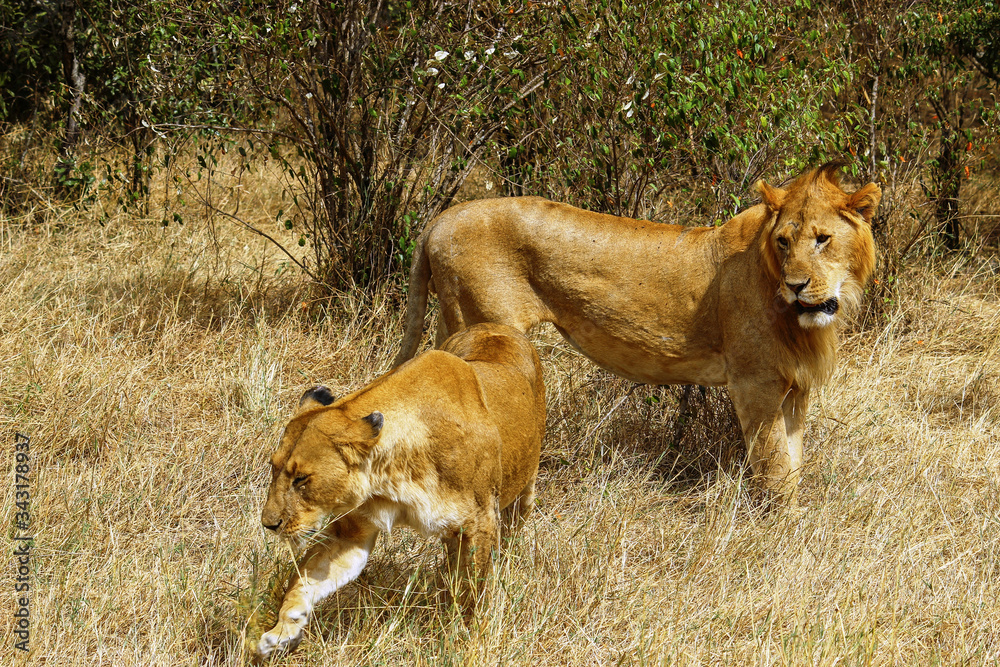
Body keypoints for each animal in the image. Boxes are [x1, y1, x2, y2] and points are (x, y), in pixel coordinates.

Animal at [256, 322, 545, 659]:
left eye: (301, 479)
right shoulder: (351, 532)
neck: (393, 476)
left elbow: (472, 591)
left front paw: (463, 643)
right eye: (273, 467)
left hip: (523, 492)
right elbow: (304, 581)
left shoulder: (480, 522)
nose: (269, 524)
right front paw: (282, 631)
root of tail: (499, 326)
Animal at [394, 162, 880, 503]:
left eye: (822, 239)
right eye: (784, 241)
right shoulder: (754, 382)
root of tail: (442, 218)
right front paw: (777, 533)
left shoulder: (795, 388)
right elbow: (776, 467)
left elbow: (794, 463)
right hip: (485, 328)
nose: (797, 286)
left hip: (452, 325)